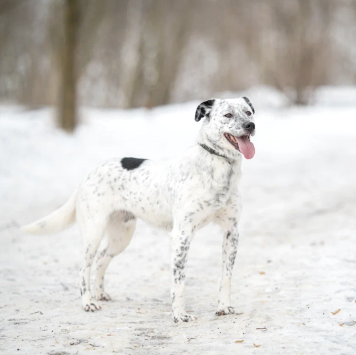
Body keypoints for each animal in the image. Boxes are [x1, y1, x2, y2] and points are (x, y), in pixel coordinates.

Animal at [22, 96, 256, 322]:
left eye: (248, 112)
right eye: (227, 114)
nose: (250, 125)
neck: (220, 166)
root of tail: (88, 174)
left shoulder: (231, 232)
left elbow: (226, 276)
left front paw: (224, 307)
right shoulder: (182, 235)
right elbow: (179, 281)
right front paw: (179, 315)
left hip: (121, 236)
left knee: (101, 260)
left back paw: (99, 293)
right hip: (94, 232)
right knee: (83, 268)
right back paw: (87, 301)